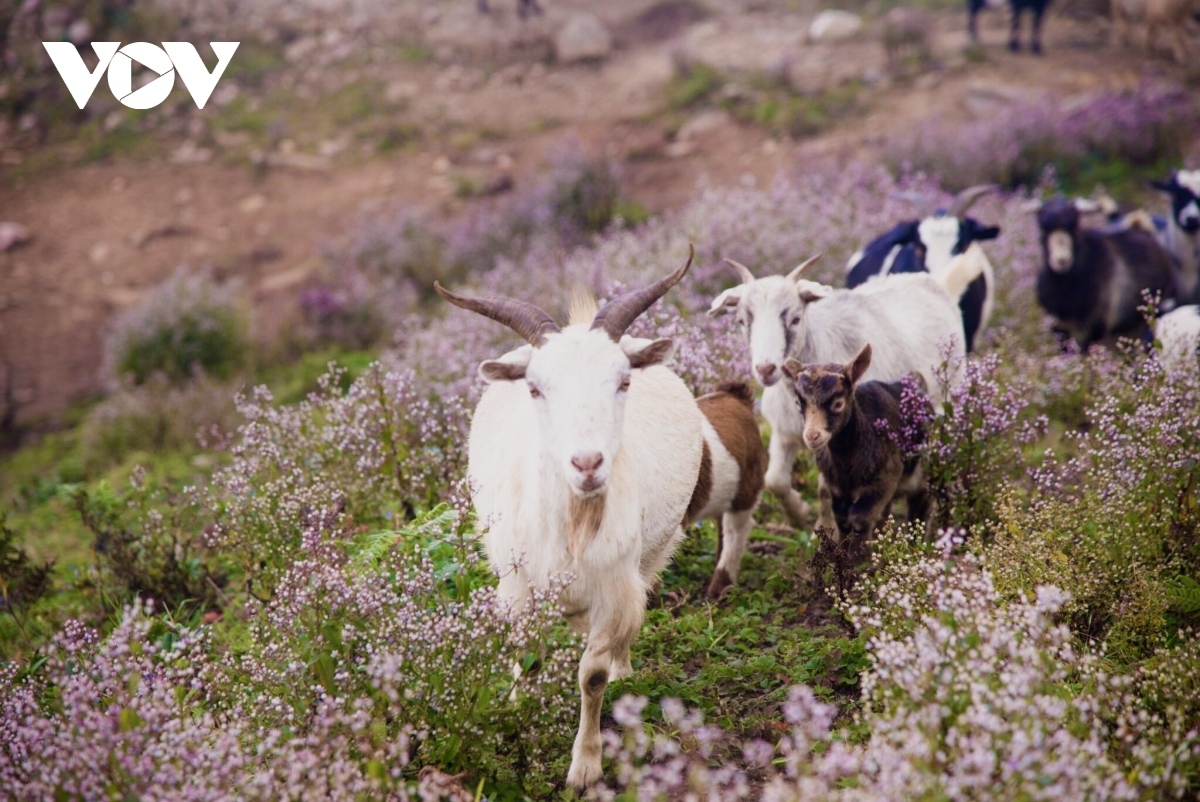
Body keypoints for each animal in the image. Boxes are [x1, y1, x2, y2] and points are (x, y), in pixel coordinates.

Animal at [705, 250, 979, 525]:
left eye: (795, 319)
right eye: (742, 321)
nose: (765, 369)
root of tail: (930, 281)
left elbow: (826, 490)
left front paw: (822, 527)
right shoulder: (785, 432)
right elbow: (775, 481)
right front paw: (798, 515)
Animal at [782, 345, 931, 545]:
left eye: (838, 403)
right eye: (798, 403)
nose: (812, 436)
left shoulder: (885, 479)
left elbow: (860, 517)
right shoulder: (836, 486)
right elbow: (842, 518)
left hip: (923, 476)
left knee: (919, 509)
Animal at [1027, 196, 1176, 348]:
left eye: (1074, 227)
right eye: (1042, 228)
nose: (1062, 260)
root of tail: (1141, 228)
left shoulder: (1094, 325)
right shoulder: (1058, 325)